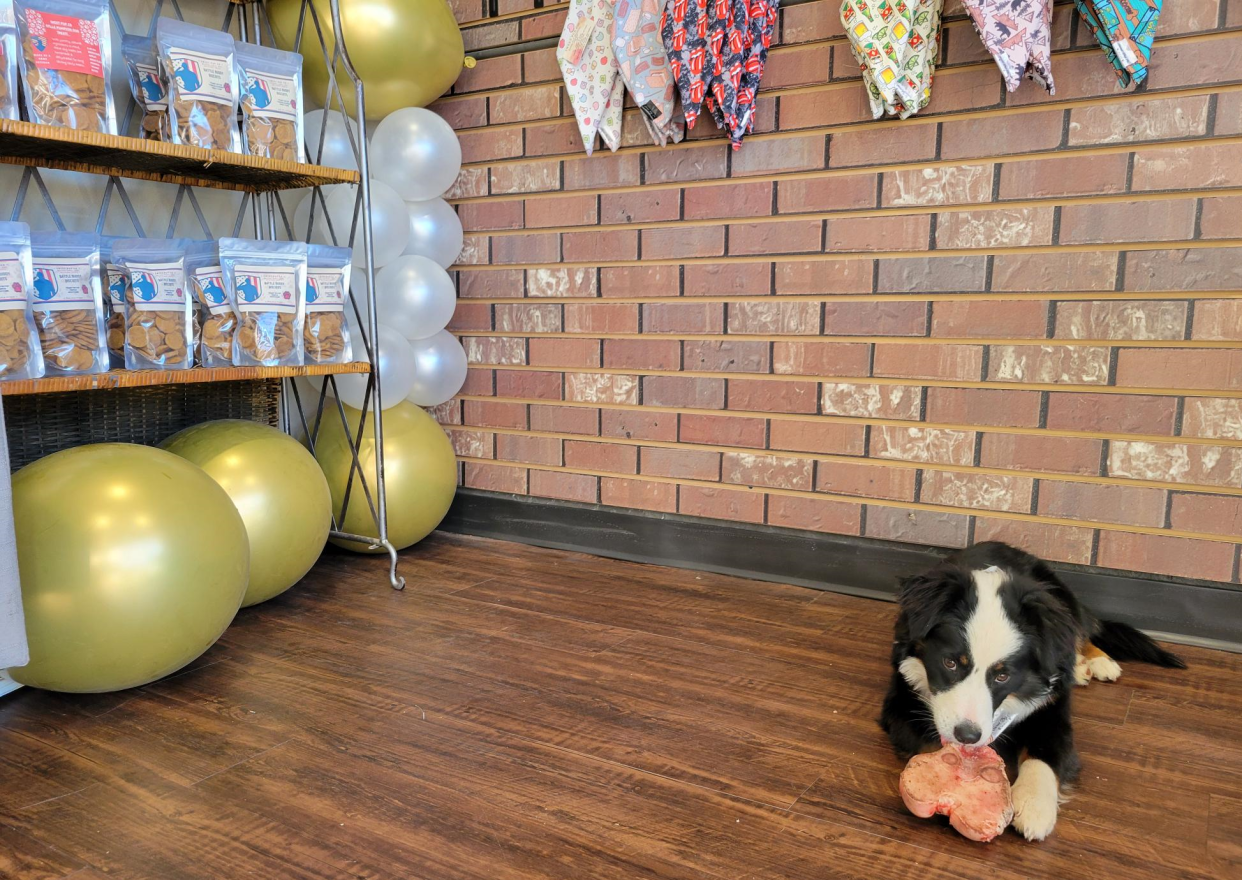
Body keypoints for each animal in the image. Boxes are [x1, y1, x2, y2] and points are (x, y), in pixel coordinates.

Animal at [884, 541, 1182, 839]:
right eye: (950, 662)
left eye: (1002, 675)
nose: (968, 735)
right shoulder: (902, 698)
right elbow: (934, 743)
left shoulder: (1052, 706)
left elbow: (1045, 753)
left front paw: (1034, 807)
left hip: (1061, 600)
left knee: (1078, 632)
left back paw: (1096, 661)